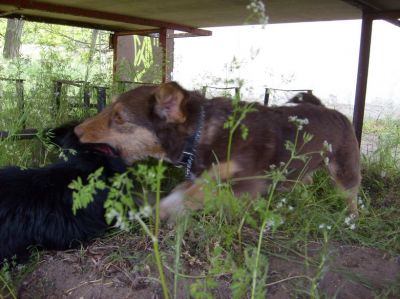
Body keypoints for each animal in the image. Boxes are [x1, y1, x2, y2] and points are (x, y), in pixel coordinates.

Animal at [73, 82, 360, 220]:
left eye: (119, 117)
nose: (76, 131)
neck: (200, 133)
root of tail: (332, 110)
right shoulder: (201, 176)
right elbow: (181, 191)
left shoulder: (245, 184)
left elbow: (190, 197)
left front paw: (159, 213)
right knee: (305, 181)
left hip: (344, 171)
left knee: (351, 196)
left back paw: (351, 218)